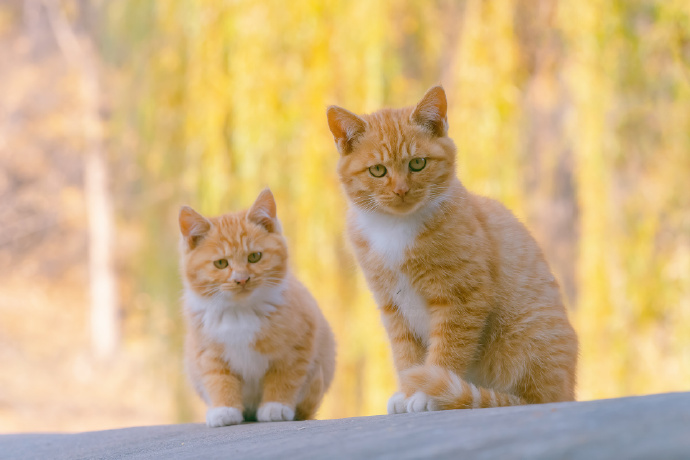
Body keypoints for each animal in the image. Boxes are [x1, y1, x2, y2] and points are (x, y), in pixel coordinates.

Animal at [177, 189, 334, 426]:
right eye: (221, 263)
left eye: (254, 256)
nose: (242, 279)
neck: (239, 312)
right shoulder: (206, 350)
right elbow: (218, 378)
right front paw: (224, 409)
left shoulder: (298, 344)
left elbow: (285, 376)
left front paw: (276, 406)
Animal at [326, 85, 576, 414]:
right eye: (378, 170)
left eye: (417, 163)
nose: (401, 190)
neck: (395, 229)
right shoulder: (393, 308)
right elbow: (406, 356)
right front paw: (407, 392)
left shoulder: (462, 297)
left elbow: (448, 350)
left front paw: (425, 394)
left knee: (529, 398)